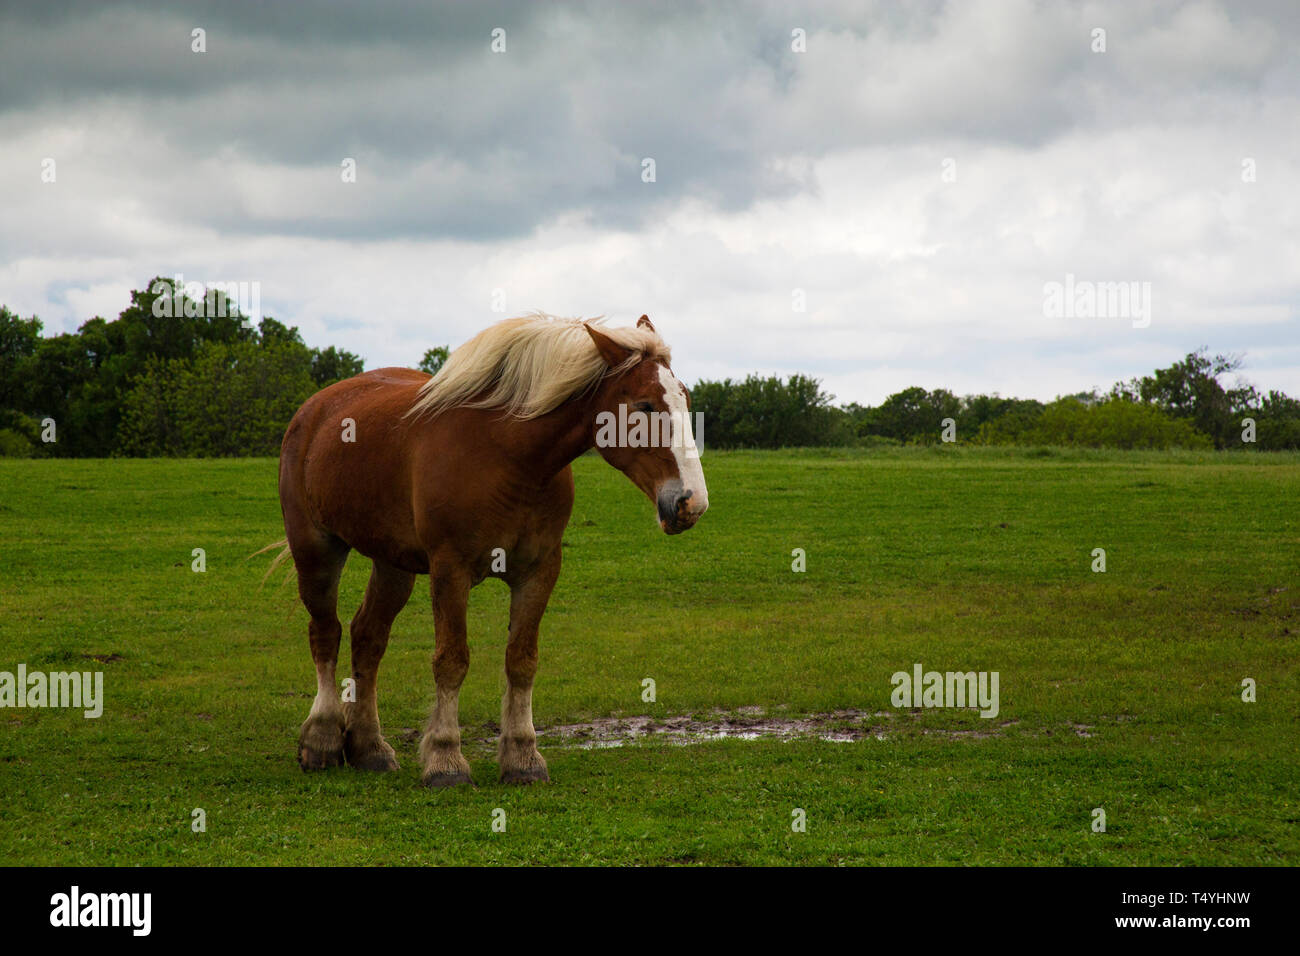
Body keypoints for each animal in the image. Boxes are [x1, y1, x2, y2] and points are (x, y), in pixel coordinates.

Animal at [267, 314, 707, 785]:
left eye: (686, 400)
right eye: (644, 405)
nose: (691, 502)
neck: (508, 457)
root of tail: (315, 408)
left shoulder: (540, 570)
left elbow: (522, 660)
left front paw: (523, 756)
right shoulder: (450, 570)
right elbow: (451, 660)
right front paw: (445, 760)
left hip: (392, 564)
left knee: (367, 636)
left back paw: (369, 747)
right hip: (316, 549)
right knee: (325, 634)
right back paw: (321, 740)